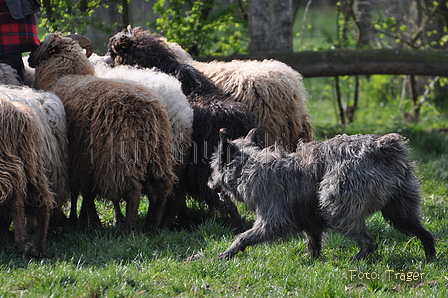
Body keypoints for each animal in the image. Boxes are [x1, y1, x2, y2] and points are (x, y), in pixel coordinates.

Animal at [208, 129, 436, 260]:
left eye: (213, 166)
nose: (209, 183)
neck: (249, 167)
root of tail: (384, 148)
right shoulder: (311, 221)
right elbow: (313, 241)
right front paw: (312, 260)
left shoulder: (273, 221)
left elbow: (244, 237)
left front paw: (229, 252)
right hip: (399, 209)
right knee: (424, 233)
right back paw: (430, 257)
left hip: (336, 208)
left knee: (369, 243)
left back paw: (358, 259)